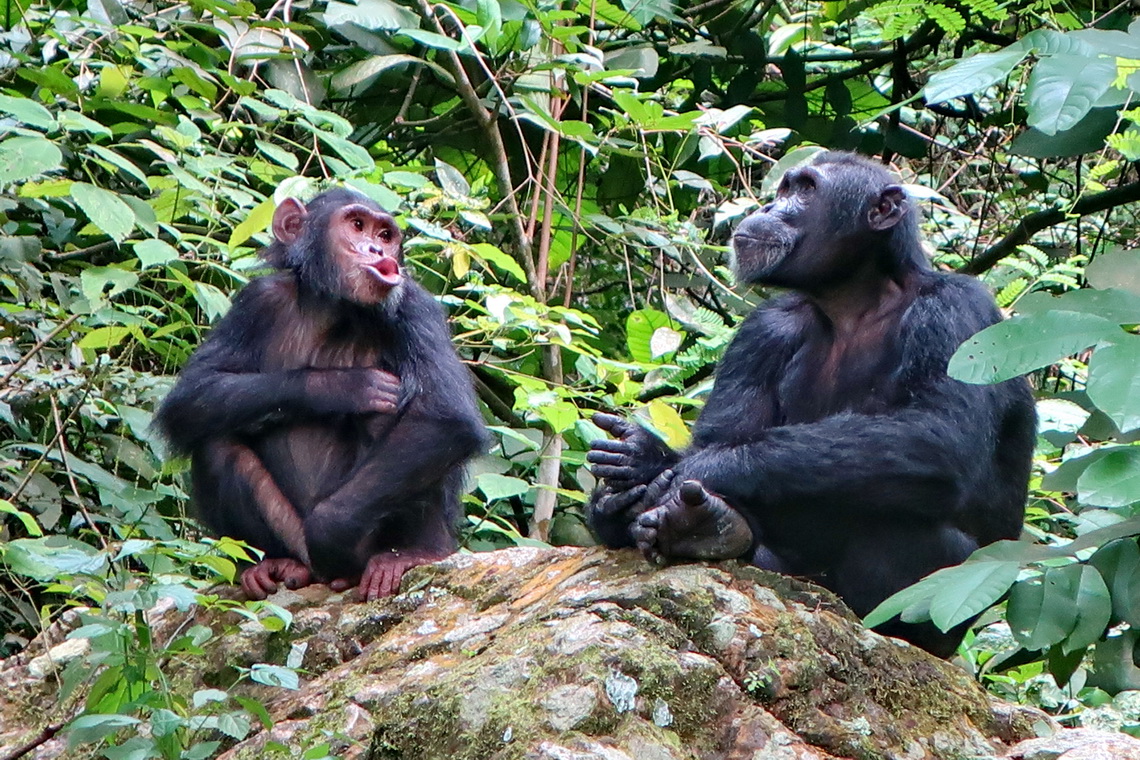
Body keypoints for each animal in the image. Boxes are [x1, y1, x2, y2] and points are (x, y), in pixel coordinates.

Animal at [157, 189, 485, 601]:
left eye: (385, 234)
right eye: (357, 225)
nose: (377, 249)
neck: (333, 307)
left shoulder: (416, 307)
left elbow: (445, 416)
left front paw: (331, 531)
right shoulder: (257, 301)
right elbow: (194, 392)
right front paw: (345, 387)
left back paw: (413, 554)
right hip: (291, 537)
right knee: (215, 441)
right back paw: (274, 565)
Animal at [583, 151, 1039, 656]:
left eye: (805, 191)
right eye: (784, 190)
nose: (767, 206)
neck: (855, 299)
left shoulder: (957, 312)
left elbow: (937, 434)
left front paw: (676, 471)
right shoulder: (762, 331)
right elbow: (722, 434)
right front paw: (641, 462)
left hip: (945, 613)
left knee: (902, 519)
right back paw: (702, 528)